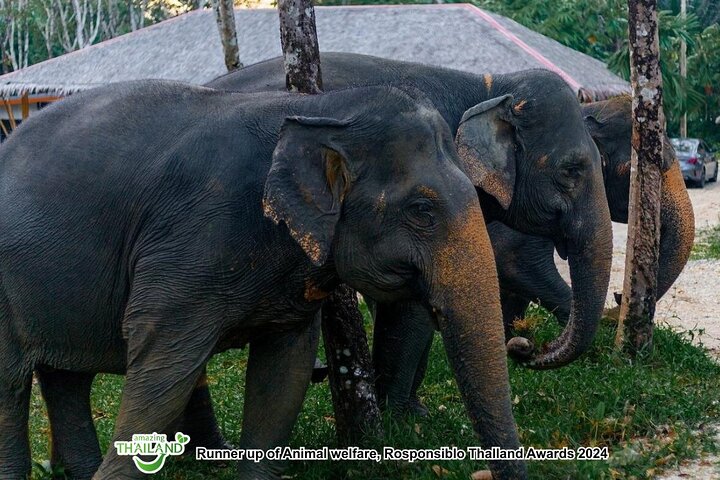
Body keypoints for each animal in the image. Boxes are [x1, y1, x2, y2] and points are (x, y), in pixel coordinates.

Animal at [0, 82, 527, 479]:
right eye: (421, 210)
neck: (318, 110)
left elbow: (284, 371)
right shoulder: (189, 242)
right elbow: (163, 367)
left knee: (65, 378)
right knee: (11, 384)